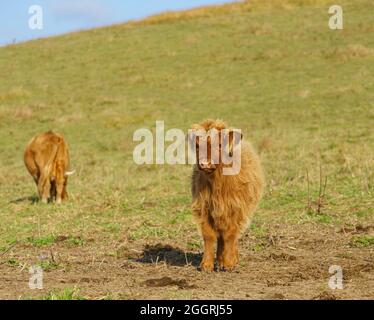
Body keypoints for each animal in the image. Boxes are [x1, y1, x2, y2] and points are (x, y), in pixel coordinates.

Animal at [191, 119, 264, 272]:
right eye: (197, 146)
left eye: (219, 145)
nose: (204, 163)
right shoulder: (203, 209)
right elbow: (209, 236)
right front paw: (206, 265)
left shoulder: (236, 209)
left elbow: (230, 236)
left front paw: (229, 264)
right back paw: (219, 261)